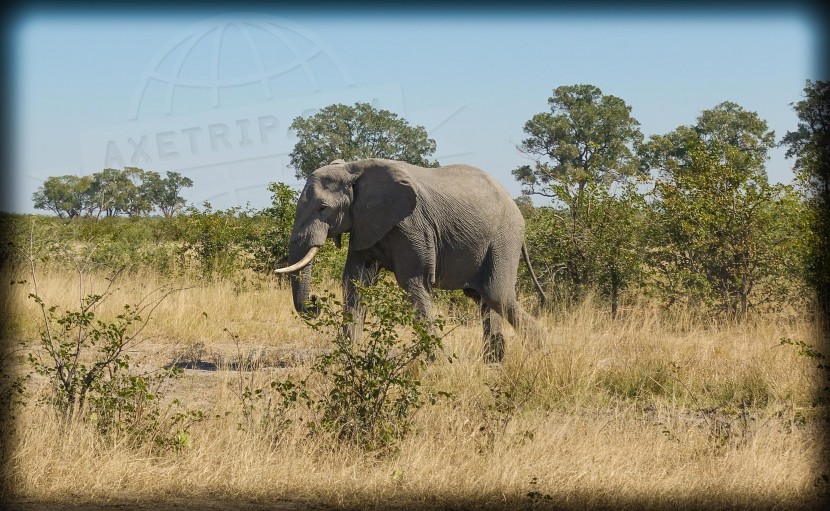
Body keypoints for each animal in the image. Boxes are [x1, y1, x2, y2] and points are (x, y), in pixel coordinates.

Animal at [278, 158, 552, 362]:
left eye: (323, 208)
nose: (314, 303)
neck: (354, 169)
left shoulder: (411, 224)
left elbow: (414, 281)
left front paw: (437, 363)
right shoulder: (364, 223)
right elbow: (356, 282)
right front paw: (348, 355)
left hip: (504, 237)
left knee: (497, 295)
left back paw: (543, 350)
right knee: (484, 298)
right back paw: (494, 362)